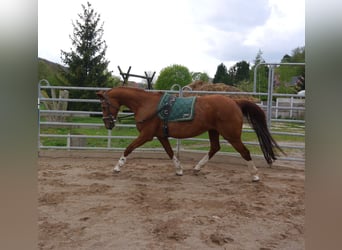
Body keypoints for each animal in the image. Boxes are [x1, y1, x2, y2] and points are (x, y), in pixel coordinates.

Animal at [96, 87, 284, 181]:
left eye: (104, 106)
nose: (108, 124)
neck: (146, 104)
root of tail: (235, 102)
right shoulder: (161, 136)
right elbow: (170, 152)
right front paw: (179, 170)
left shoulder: (146, 135)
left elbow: (129, 148)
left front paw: (117, 167)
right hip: (213, 131)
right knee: (215, 148)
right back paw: (197, 168)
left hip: (231, 135)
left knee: (245, 152)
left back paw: (255, 175)